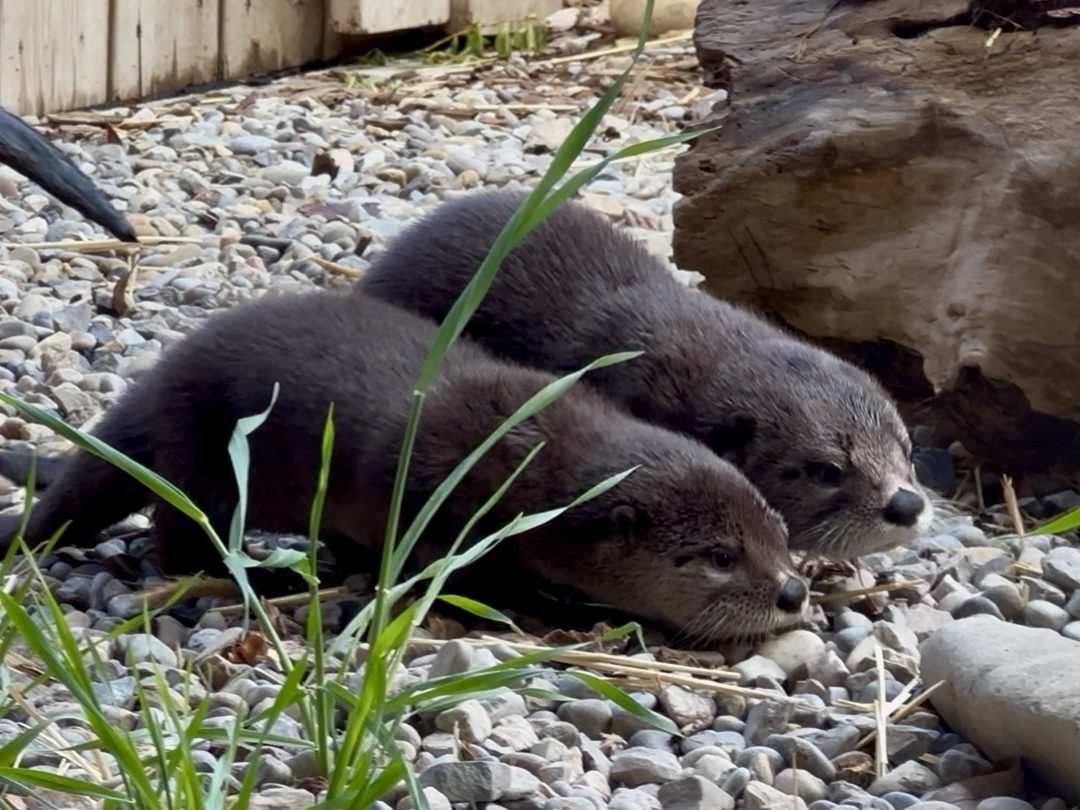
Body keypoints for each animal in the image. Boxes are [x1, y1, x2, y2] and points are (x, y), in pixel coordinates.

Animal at [0, 291, 808, 641]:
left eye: (778, 537)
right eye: (720, 557)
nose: (794, 592)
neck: (526, 461)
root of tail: (159, 379)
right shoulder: (433, 504)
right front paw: (542, 608)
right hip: (203, 452)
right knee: (177, 540)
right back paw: (261, 576)